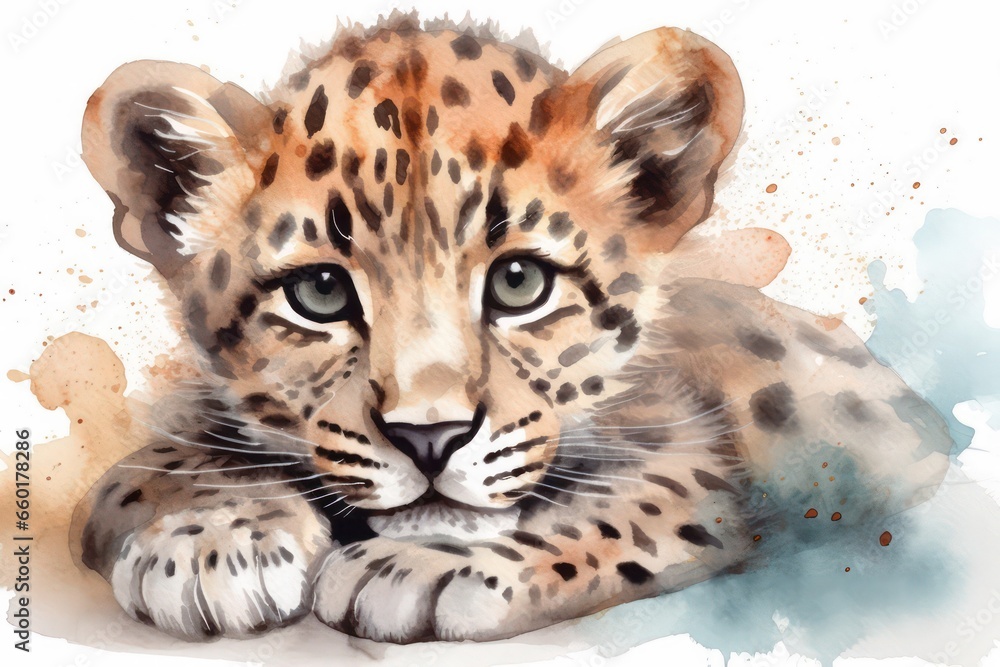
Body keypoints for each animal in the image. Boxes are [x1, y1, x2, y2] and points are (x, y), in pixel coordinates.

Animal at [74, 13, 952, 644]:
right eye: (320, 291)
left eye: (519, 282)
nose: (429, 438)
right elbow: (149, 468)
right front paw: (216, 539)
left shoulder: (693, 460)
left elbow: (618, 510)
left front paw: (422, 562)